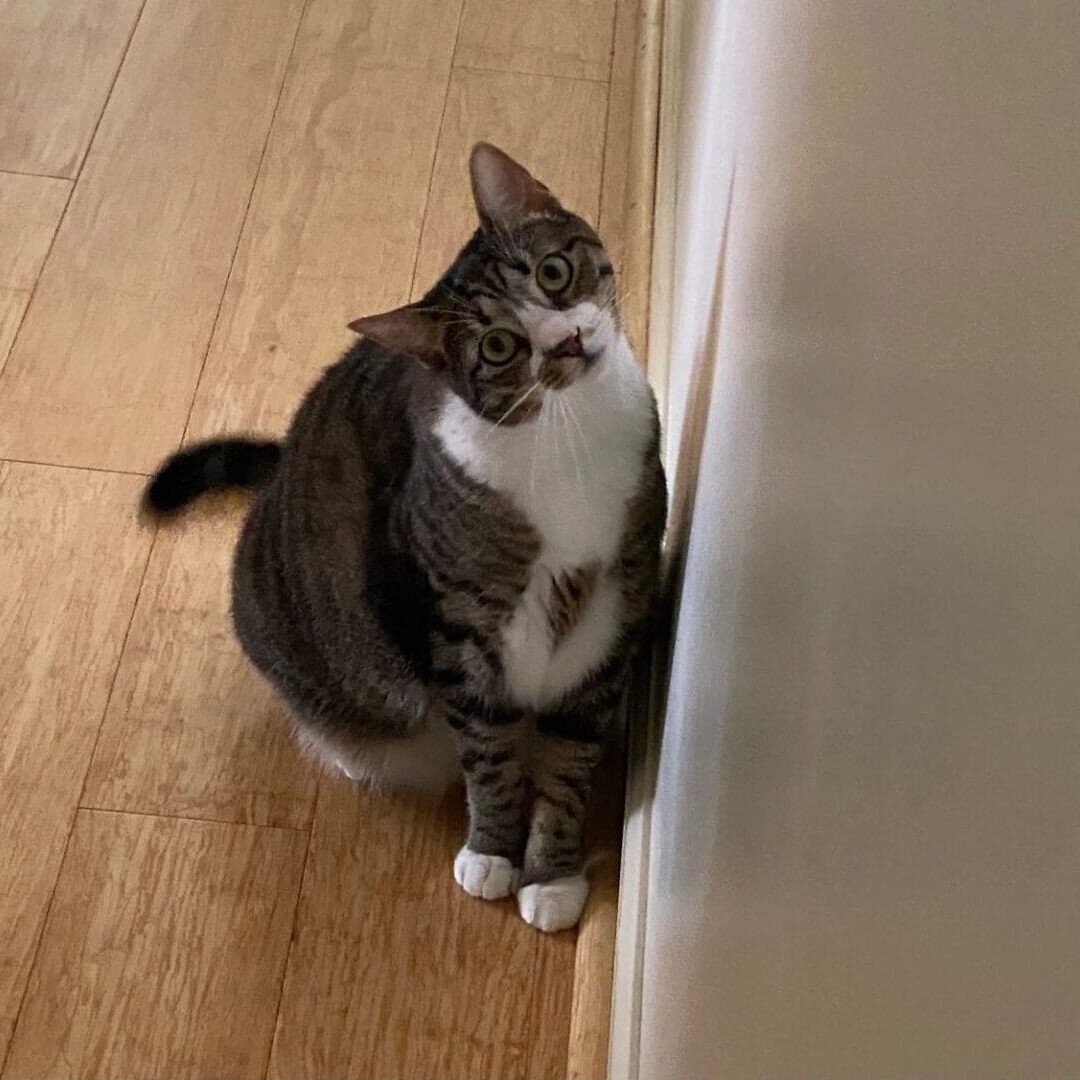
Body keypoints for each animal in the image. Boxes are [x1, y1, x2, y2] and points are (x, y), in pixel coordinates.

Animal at [143, 143, 665, 933]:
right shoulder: (458, 627)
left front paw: (552, 876)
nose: (568, 341)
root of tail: (281, 469)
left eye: (553, 273)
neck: (570, 435)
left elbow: (570, 758)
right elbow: (489, 754)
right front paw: (493, 852)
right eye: (500, 346)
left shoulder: (617, 606)